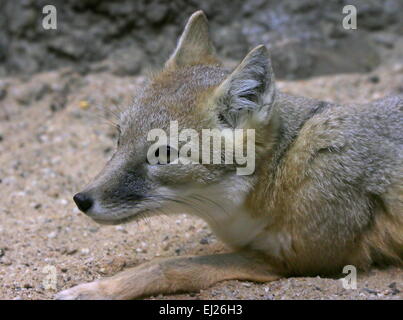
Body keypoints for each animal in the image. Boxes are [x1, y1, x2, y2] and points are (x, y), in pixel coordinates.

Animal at [55, 10, 402, 300]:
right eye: (119, 137)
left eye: (163, 154)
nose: (81, 199)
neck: (281, 169)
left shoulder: (301, 261)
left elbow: (172, 265)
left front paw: (96, 290)